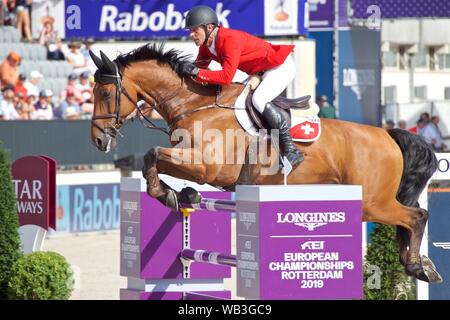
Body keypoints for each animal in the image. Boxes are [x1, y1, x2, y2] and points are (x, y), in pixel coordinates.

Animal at [89, 42, 442, 282]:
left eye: (104, 94)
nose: (98, 140)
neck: (194, 104)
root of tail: (388, 135)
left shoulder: (205, 166)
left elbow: (152, 154)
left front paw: (172, 196)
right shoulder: (193, 163)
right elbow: (155, 161)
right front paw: (181, 195)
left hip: (373, 202)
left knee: (416, 216)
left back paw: (418, 266)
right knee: (409, 220)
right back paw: (419, 263)